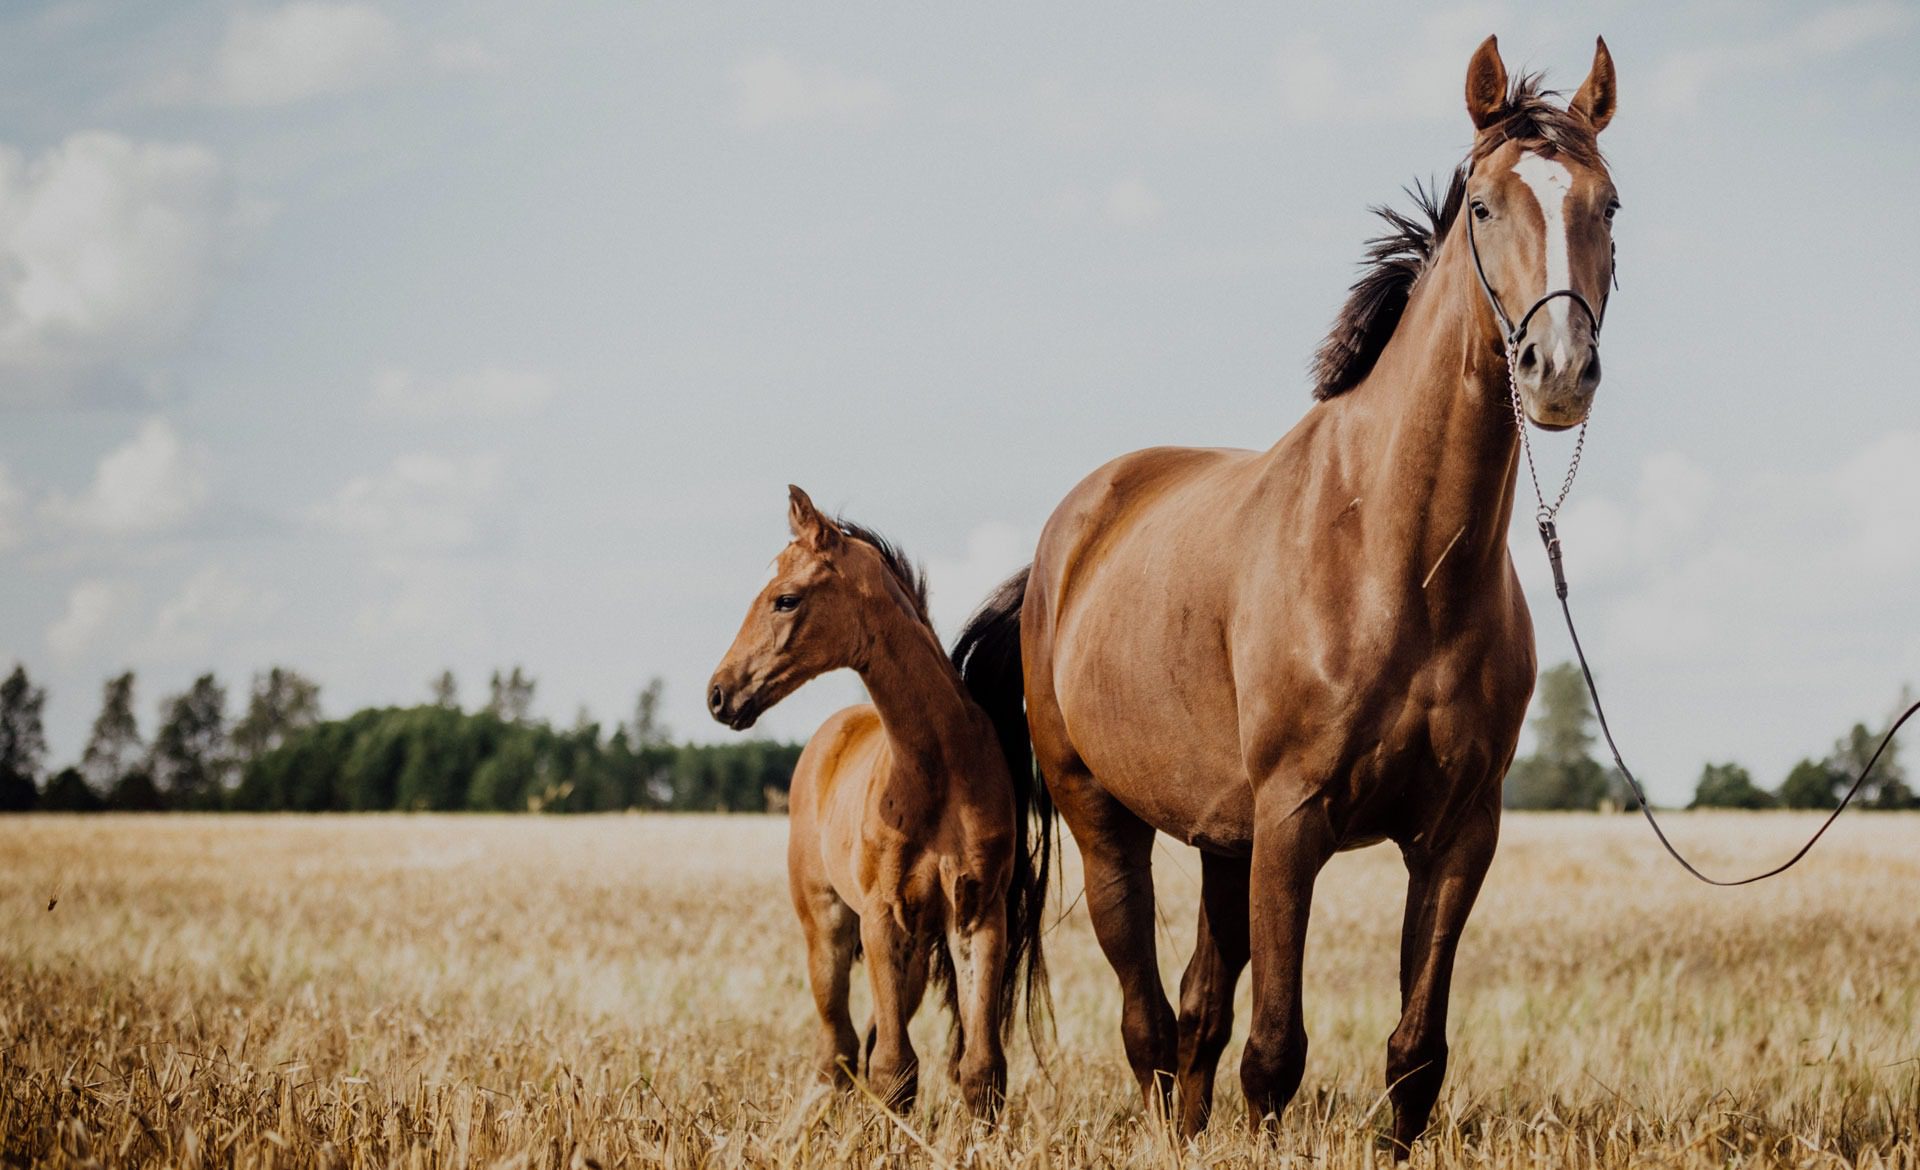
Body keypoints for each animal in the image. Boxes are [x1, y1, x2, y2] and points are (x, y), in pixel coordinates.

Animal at [706, 485, 1052, 1116]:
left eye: (785, 599)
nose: (719, 694)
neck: (935, 772)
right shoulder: (882, 918)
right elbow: (895, 1069)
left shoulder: (977, 916)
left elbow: (980, 1068)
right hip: (828, 927)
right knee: (837, 1049)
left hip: (912, 952)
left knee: (860, 1043)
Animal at [954, 36, 1619, 1150]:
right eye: (1485, 205)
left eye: (1608, 205)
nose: (1557, 369)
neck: (1397, 561)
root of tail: (1058, 549)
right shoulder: (1296, 820)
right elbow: (1275, 1055)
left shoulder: (1458, 835)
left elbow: (1412, 1057)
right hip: (1107, 821)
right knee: (1147, 1018)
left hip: (1227, 841)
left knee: (1194, 1013)